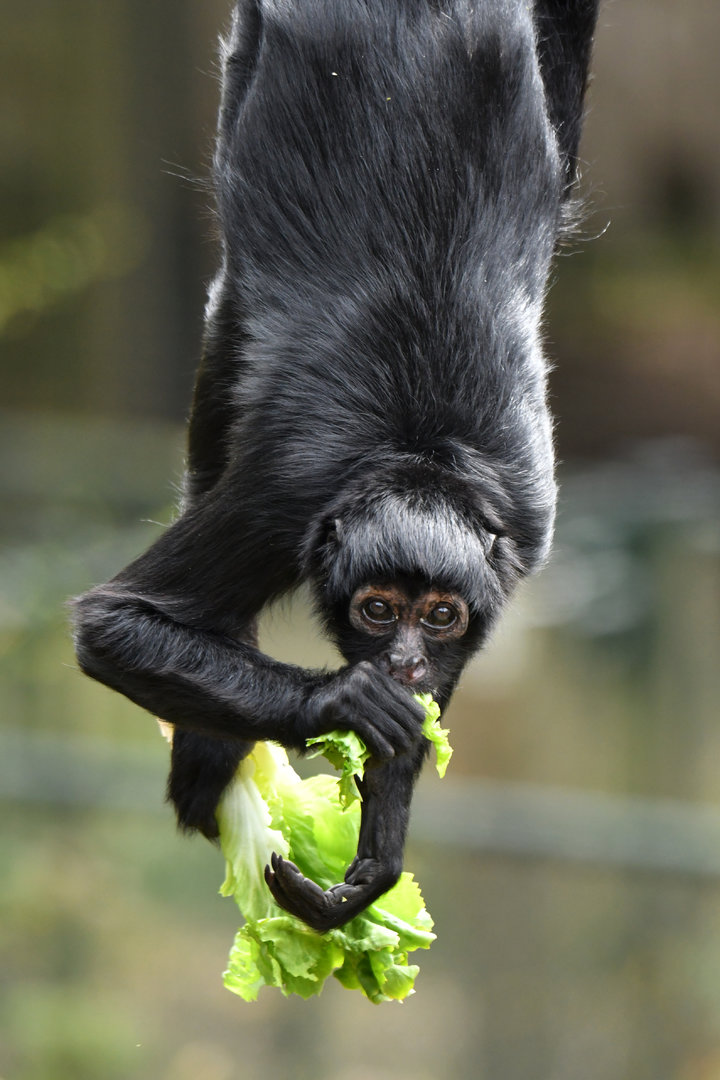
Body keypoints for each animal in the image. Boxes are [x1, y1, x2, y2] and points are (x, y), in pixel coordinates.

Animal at [73, 0, 599, 932]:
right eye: (378, 609)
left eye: (442, 618)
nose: (406, 665)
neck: (420, 449)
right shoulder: (283, 496)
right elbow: (112, 625)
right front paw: (345, 702)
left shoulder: (525, 519)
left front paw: (379, 854)